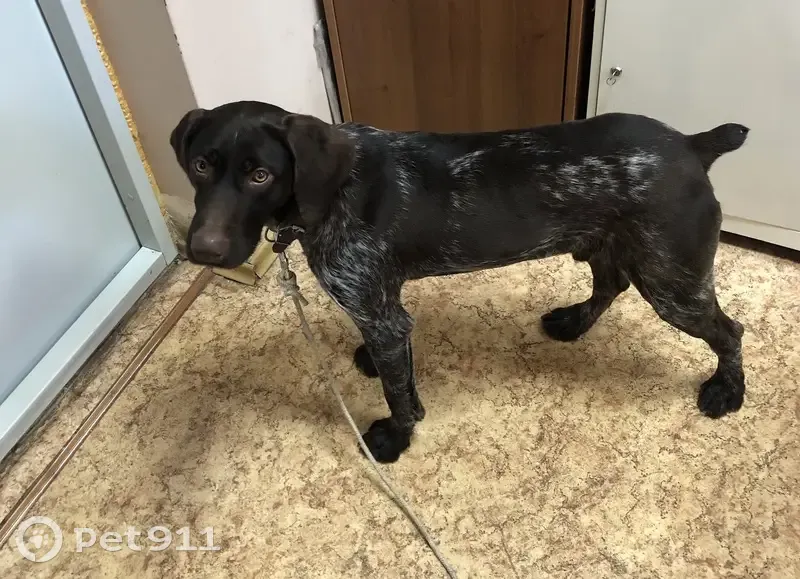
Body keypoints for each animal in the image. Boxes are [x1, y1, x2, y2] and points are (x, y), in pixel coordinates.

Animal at [171, 101, 749, 463]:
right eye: (200, 165)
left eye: (260, 175)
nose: (204, 250)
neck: (331, 190)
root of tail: (692, 146)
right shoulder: (382, 308)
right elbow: (392, 366)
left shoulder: (380, 311)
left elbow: (398, 393)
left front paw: (395, 438)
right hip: (619, 250)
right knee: (610, 286)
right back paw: (573, 322)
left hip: (672, 282)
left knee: (730, 332)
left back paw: (728, 390)